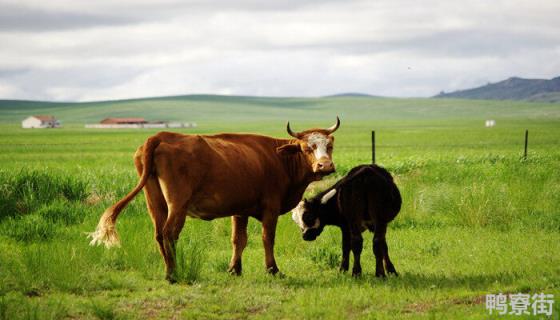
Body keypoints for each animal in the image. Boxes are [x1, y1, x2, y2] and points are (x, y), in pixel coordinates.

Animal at [89, 118, 340, 282]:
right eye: (307, 147)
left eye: (329, 146)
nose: (325, 166)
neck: (278, 158)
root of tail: (160, 136)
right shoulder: (270, 208)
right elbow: (267, 239)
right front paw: (273, 270)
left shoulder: (240, 209)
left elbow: (238, 240)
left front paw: (234, 269)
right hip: (177, 203)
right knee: (170, 233)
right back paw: (173, 273)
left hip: (155, 202)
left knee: (159, 234)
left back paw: (169, 270)